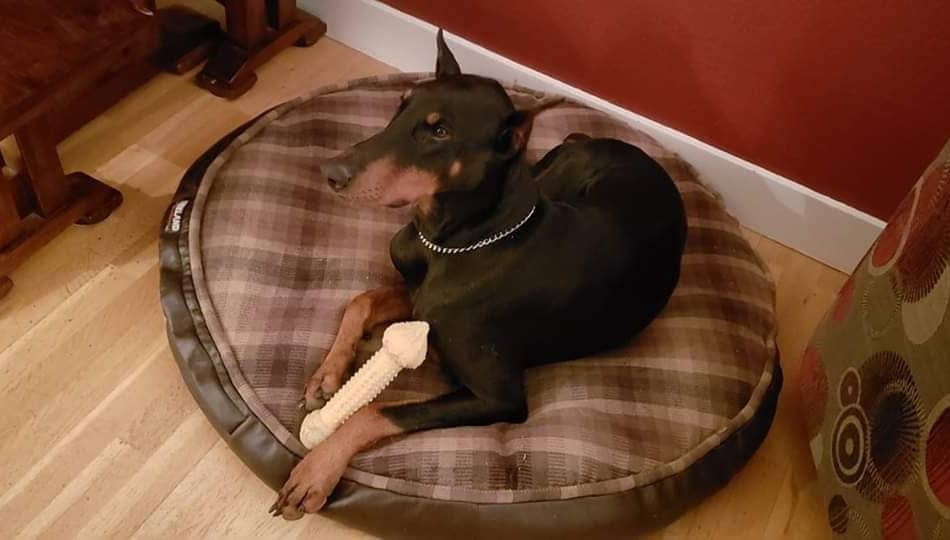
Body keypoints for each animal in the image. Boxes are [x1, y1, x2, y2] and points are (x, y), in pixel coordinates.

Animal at [272, 30, 688, 520]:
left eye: (440, 131)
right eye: (400, 105)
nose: (331, 172)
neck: (454, 240)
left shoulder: (498, 397)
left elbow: (381, 410)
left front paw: (316, 471)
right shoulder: (419, 296)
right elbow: (362, 300)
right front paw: (326, 377)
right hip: (551, 171)